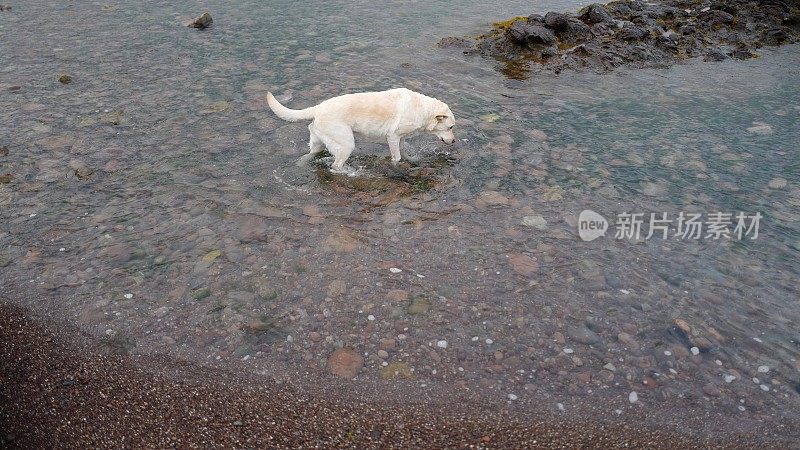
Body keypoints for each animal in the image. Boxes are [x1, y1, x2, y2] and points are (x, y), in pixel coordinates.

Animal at [268, 88, 456, 172]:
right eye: (451, 127)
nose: (454, 141)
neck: (421, 109)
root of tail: (317, 108)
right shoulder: (393, 136)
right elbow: (396, 157)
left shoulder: (400, 138)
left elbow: (404, 151)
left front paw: (412, 159)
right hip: (346, 143)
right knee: (336, 165)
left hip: (319, 142)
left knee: (309, 155)